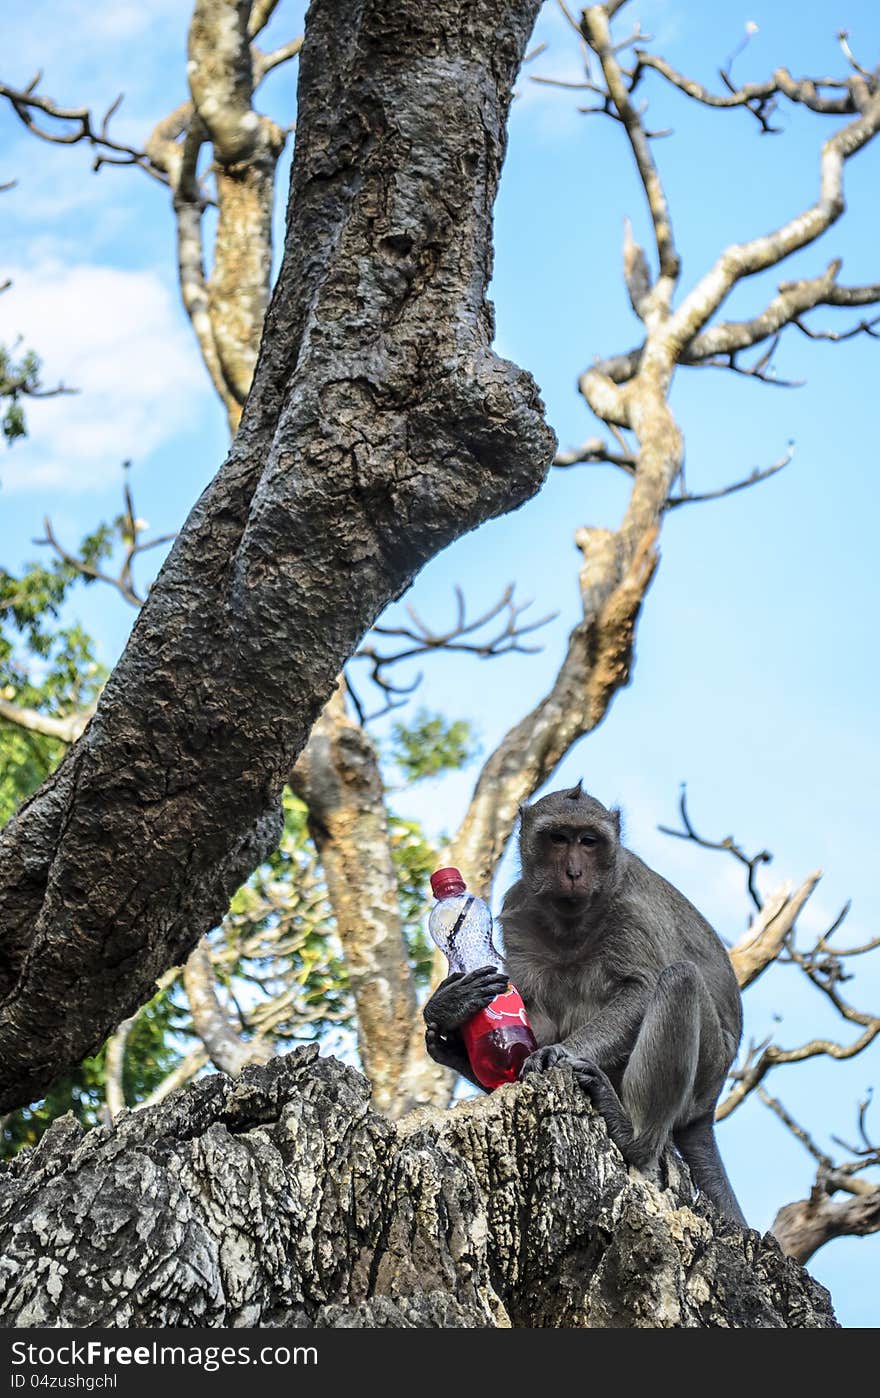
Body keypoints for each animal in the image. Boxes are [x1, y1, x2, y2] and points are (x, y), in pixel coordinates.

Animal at [422, 782, 744, 1230]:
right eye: (558, 838)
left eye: (589, 841)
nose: (574, 872)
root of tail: (710, 1104)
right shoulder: (518, 908)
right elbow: (529, 1011)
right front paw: (451, 1007)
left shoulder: (631, 906)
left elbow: (641, 989)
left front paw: (556, 1054)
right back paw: (454, 1050)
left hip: (708, 1065)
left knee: (680, 979)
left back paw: (635, 1139)